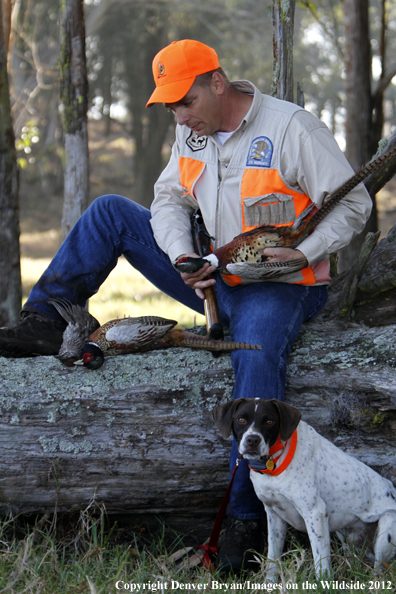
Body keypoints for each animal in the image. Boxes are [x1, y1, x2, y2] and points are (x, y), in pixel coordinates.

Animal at [213, 396, 396, 576]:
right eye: (241, 419)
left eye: (269, 421)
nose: (252, 440)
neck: (274, 462)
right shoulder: (274, 516)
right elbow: (273, 561)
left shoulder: (315, 514)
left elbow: (321, 566)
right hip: (348, 538)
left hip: (386, 530)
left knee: (379, 571)